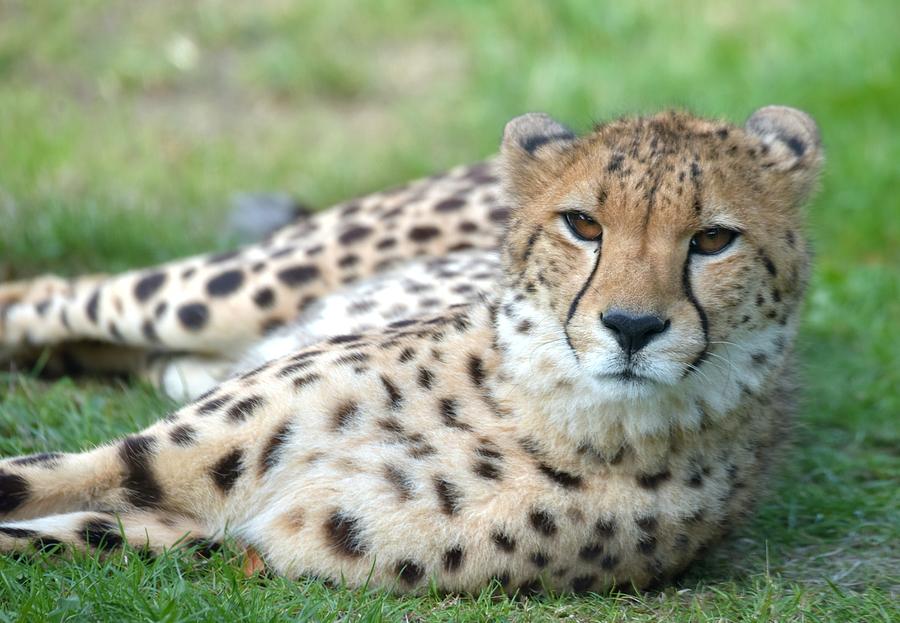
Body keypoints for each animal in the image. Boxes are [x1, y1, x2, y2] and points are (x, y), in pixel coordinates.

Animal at [0, 107, 824, 596]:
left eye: (713, 239)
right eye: (584, 225)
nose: (631, 326)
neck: (536, 408)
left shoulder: (233, 542)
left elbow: (53, 535)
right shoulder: (143, 460)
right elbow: (28, 479)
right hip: (235, 289)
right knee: (62, 293)